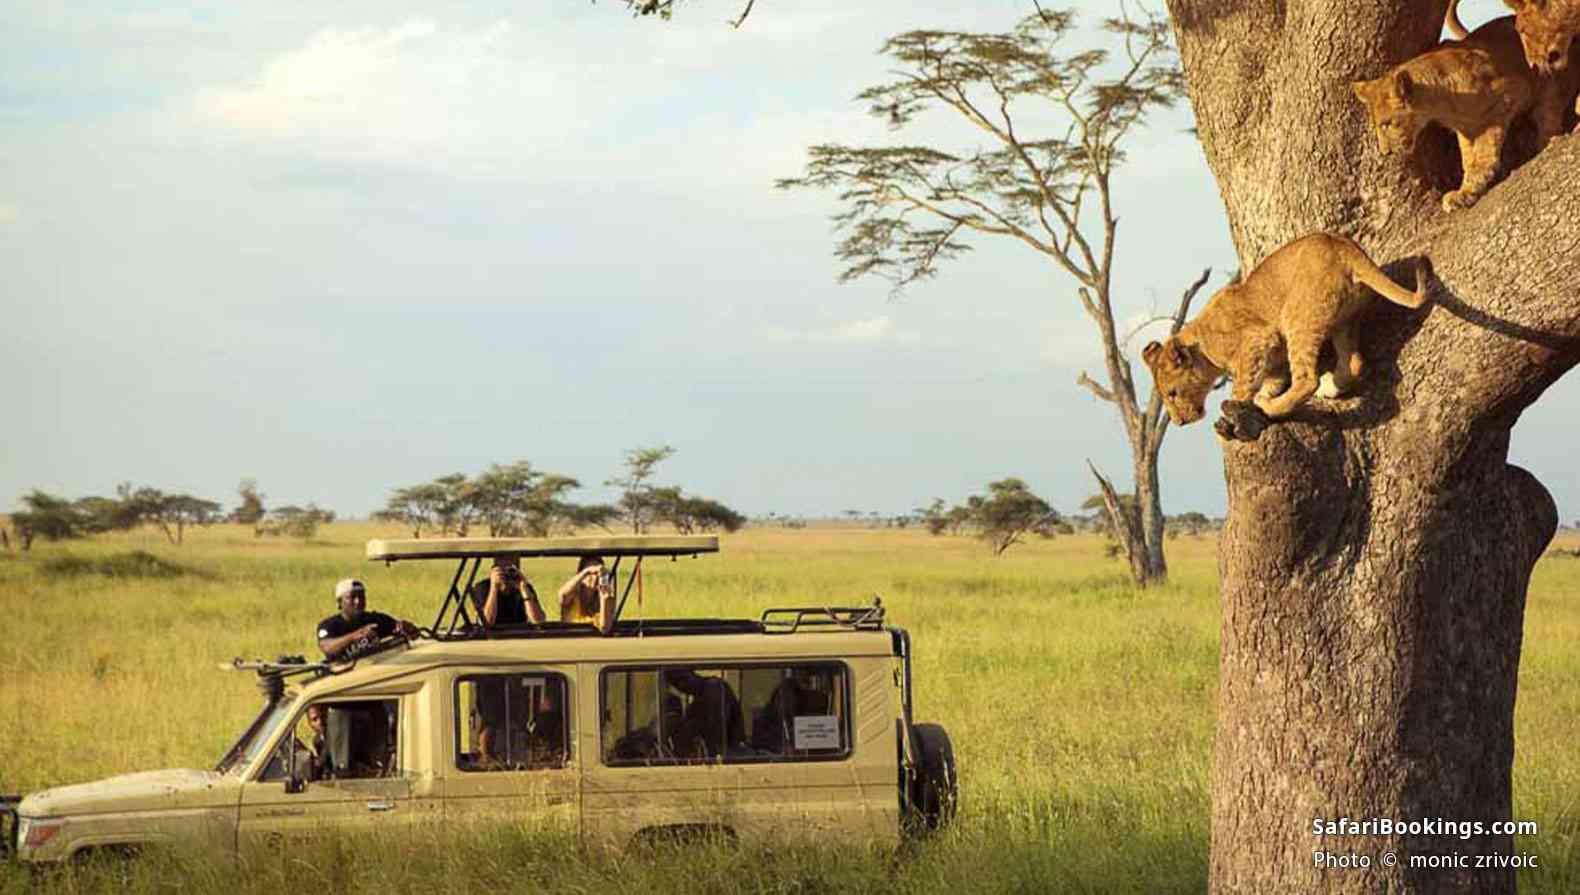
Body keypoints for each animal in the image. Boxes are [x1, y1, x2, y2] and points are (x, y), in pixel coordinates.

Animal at [1141, 233, 1426, 441]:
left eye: (1172, 394)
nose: (1179, 422)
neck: (1201, 344)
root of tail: (1344, 246)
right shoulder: (1272, 356)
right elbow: (1270, 380)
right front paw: (1262, 396)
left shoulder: (1256, 339)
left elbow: (1242, 387)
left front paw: (1240, 409)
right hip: (1344, 321)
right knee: (1354, 362)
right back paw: (1328, 387)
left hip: (1298, 317)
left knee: (1306, 380)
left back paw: (1276, 406)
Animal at [1353, 14, 1580, 211]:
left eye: (1386, 124)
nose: (1385, 153)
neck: (1441, 104)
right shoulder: (1466, 129)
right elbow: (1468, 160)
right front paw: (1466, 192)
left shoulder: (1511, 94)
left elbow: (1486, 148)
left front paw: (1483, 174)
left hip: (1549, 78)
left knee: (1549, 114)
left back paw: (1549, 141)